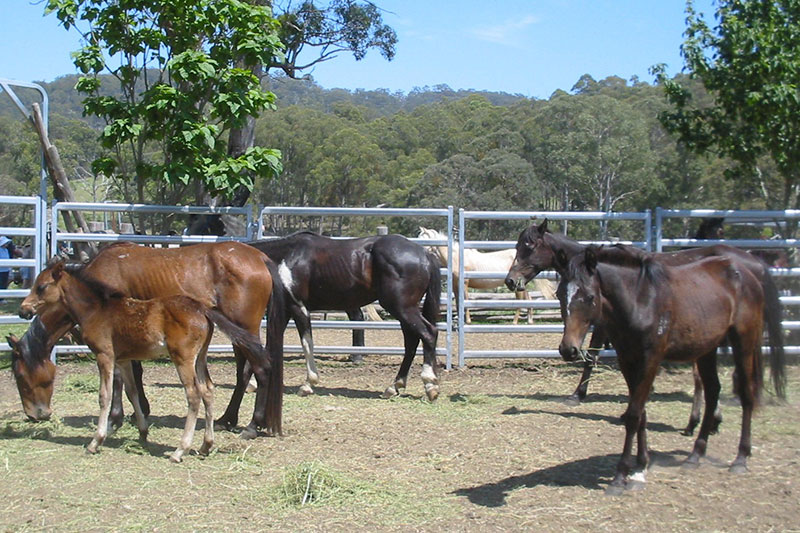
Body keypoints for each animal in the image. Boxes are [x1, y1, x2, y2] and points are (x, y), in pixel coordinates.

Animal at [16, 241, 286, 438]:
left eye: (20, 377)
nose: (34, 415)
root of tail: (260, 258)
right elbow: (134, 375)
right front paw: (141, 411)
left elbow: (119, 378)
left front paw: (115, 419)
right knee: (244, 373)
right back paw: (227, 419)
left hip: (244, 330)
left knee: (260, 369)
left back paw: (252, 425)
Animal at [247, 231, 442, 400]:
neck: (286, 257)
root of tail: (424, 254)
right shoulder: (288, 309)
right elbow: (266, 345)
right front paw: (252, 383)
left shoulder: (298, 307)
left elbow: (307, 343)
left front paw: (308, 384)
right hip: (404, 311)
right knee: (411, 342)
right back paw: (394, 387)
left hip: (402, 309)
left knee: (428, 334)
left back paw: (430, 385)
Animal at [417, 227, 555, 325]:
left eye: (424, 238)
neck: (457, 257)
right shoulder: (456, 284)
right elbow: (457, 300)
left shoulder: (464, 282)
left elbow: (465, 299)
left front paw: (467, 321)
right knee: (528, 299)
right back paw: (529, 321)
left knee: (520, 300)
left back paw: (514, 321)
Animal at [504, 219, 785, 436]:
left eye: (529, 246)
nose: (510, 280)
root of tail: (754, 263)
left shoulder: (604, 327)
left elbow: (592, 357)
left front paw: (578, 395)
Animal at [557, 246, 786, 494]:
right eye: (560, 294)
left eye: (590, 296)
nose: (568, 349)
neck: (639, 300)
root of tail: (749, 272)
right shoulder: (627, 359)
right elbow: (640, 414)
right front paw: (640, 467)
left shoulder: (651, 359)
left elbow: (634, 415)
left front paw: (621, 476)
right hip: (707, 349)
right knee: (713, 392)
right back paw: (695, 455)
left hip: (744, 341)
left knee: (746, 393)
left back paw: (740, 458)